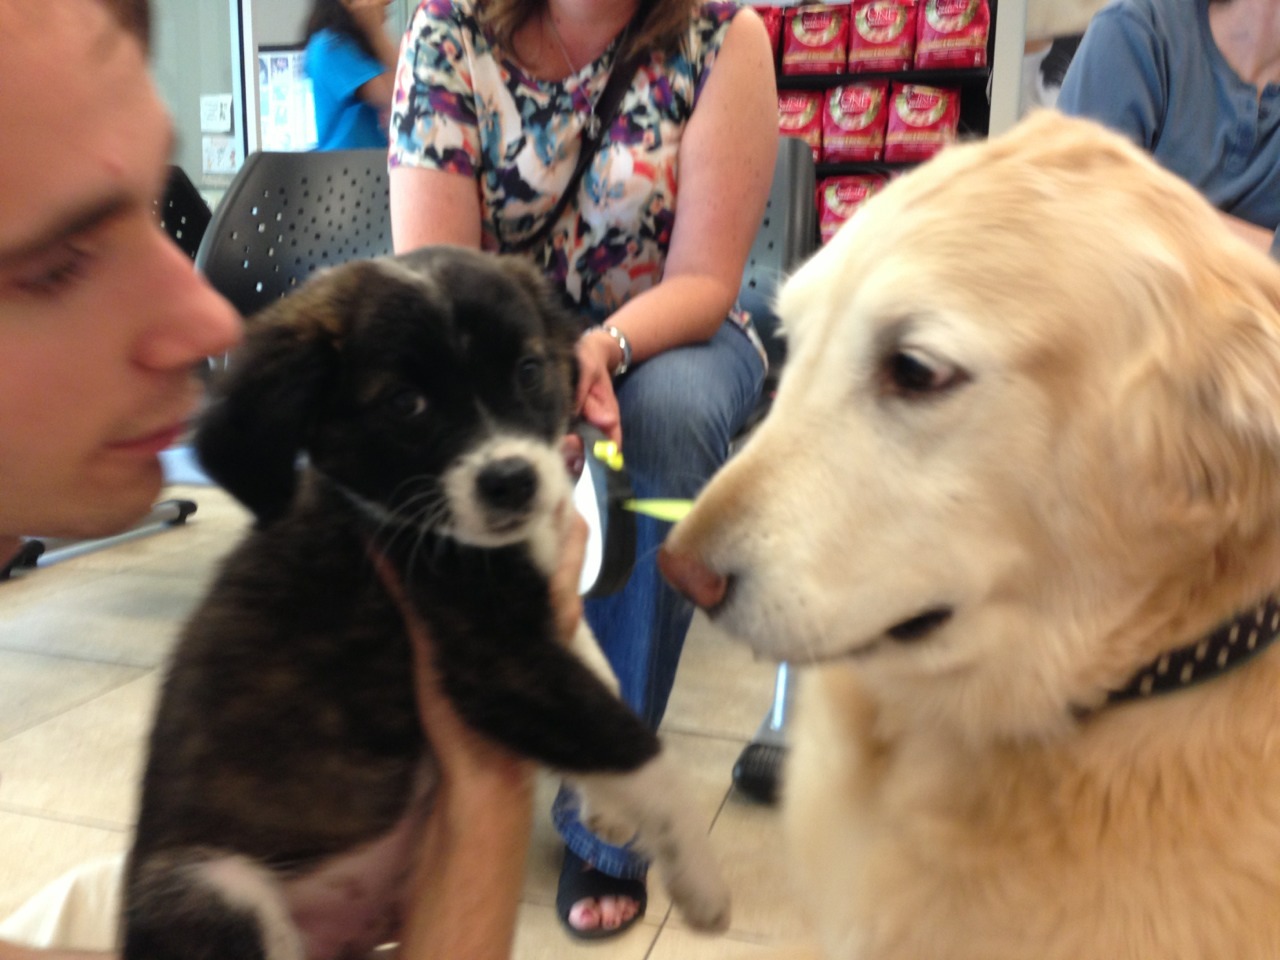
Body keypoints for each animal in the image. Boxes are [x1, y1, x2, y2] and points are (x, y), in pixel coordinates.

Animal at [128, 248, 732, 960]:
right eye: (405, 403)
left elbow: (599, 676)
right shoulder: (497, 662)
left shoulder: (539, 624)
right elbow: (635, 745)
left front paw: (603, 809)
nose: (513, 483)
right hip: (209, 887)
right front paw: (701, 878)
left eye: (529, 370)